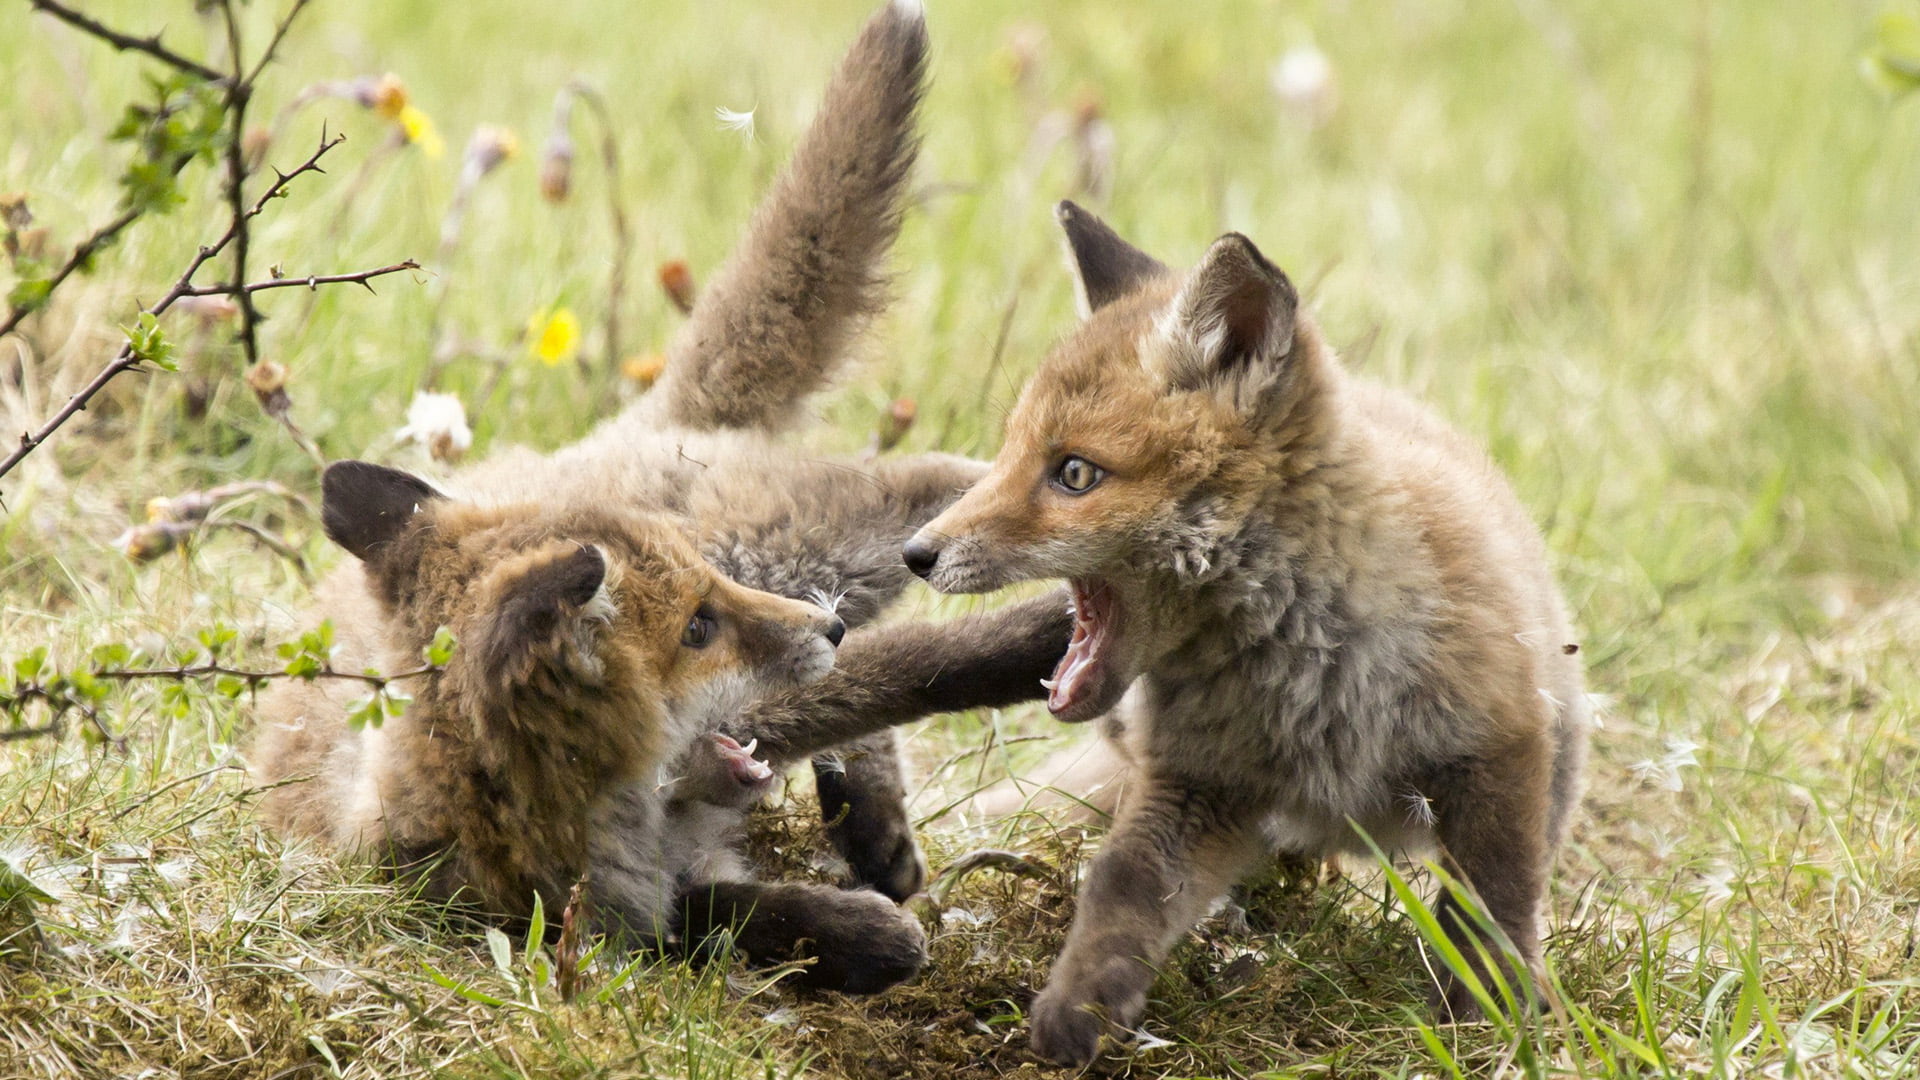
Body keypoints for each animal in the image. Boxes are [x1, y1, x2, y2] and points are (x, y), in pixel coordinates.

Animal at [252, 0, 1072, 993]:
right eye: (696, 627)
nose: (826, 629)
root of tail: (622, 430)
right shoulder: (622, 897)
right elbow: (728, 917)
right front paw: (858, 935)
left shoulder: (772, 699)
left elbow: (927, 667)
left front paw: (1046, 639)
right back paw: (872, 822)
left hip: (818, 543)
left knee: (946, 490)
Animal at [903, 201, 1590, 1062]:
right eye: (1004, 454)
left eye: (1074, 473)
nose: (915, 553)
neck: (1308, 667)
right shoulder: (1201, 783)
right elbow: (1121, 886)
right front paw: (1077, 1010)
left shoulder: (1497, 746)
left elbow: (1493, 910)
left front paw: (1486, 1025)